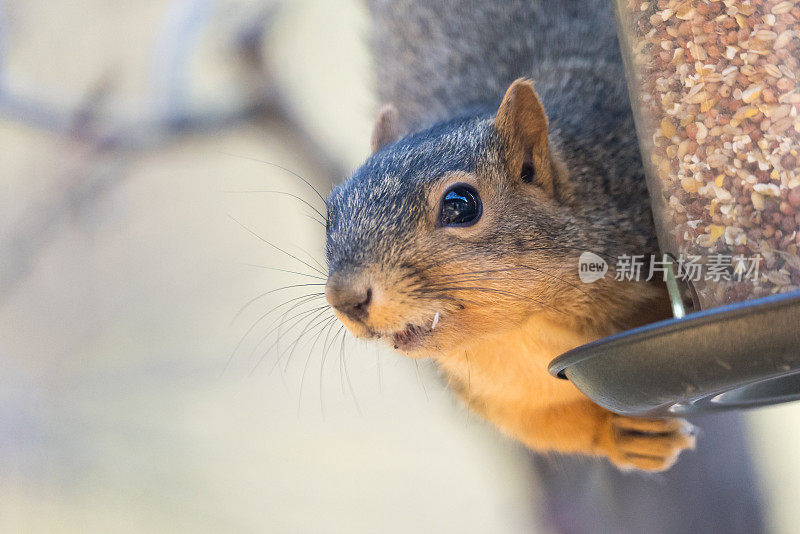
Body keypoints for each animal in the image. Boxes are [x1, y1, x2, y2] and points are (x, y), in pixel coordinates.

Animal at [322, 0, 696, 474]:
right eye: (330, 214)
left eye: (460, 205)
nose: (345, 298)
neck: (526, 332)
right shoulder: (501, 393)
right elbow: (546, 422)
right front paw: (624, 433)